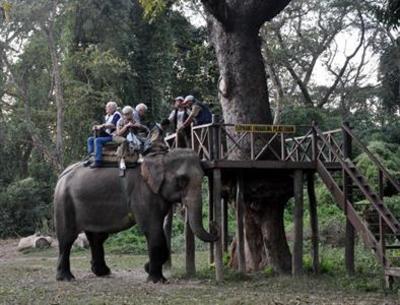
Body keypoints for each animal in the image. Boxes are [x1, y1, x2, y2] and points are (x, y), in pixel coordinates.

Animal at [54, 147, 217, 282]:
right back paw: (66, 278)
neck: (161, 158)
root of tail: (61, 176)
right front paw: (156, 280)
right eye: (182, 180)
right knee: (67, 238)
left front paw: (148, 268)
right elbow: (152, 230)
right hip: (65, 201)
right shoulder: (143, 193)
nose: (214, 225)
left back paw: (102, 272)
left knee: (97, 237)